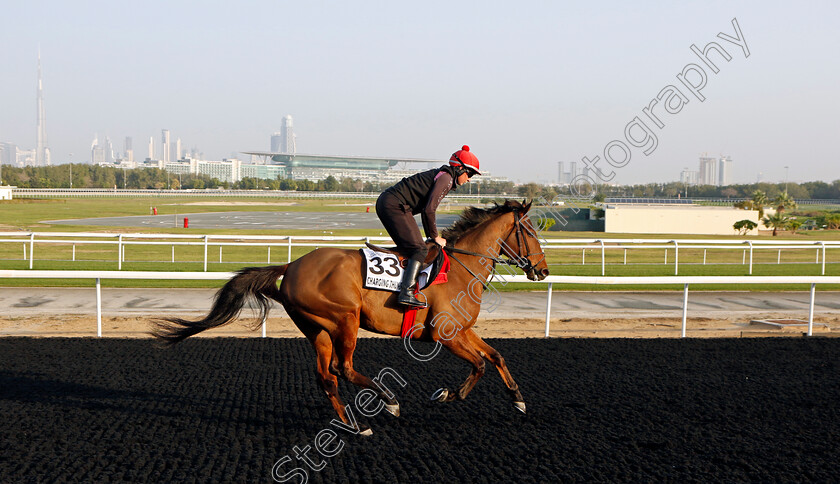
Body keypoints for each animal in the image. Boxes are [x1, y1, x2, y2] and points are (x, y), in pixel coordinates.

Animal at [152, 199, 548, 432]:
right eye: (530, 231)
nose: (542, 271)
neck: (462, 270)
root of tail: (291, 266)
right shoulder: (443, 334)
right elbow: (479, 365)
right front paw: (448, 395)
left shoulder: (462, 330)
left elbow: (495, 356)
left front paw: (518, 398)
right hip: (346, 319)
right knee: (343, 368)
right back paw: (388, 402)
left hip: (316, 329)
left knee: (326, 376)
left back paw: (355, 425)